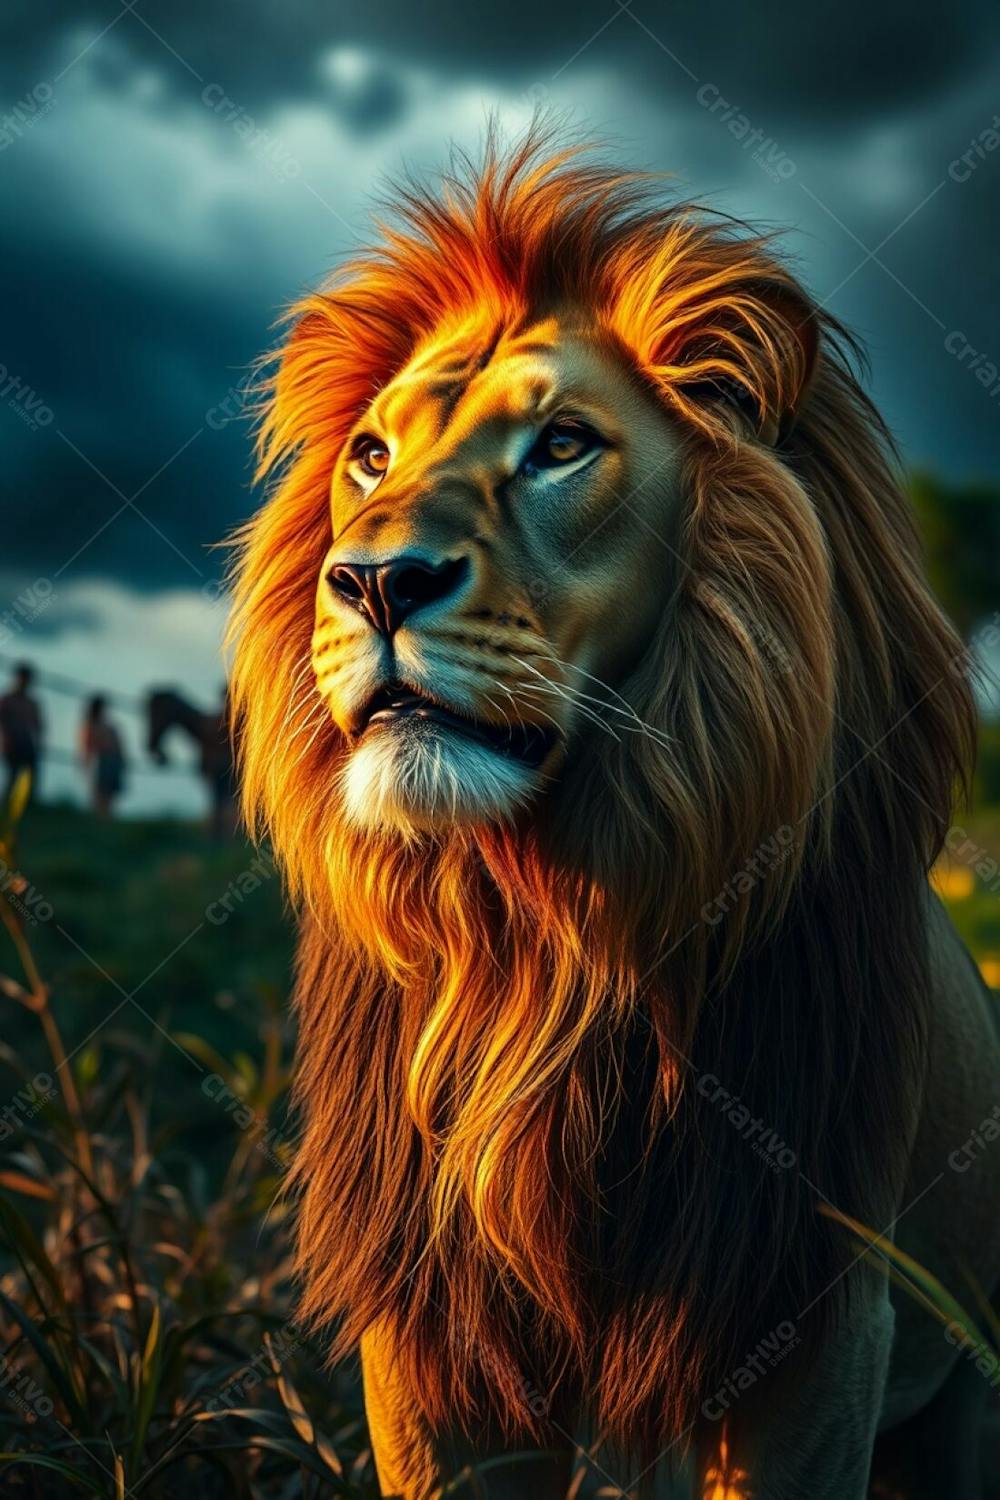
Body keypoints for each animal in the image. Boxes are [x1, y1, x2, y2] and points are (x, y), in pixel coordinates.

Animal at [230, 135, 1000, 1494]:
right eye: (371, 455)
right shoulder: (433, 1335)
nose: (373, 579)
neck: (541, 936)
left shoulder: (806, 1317)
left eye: (561, 446)